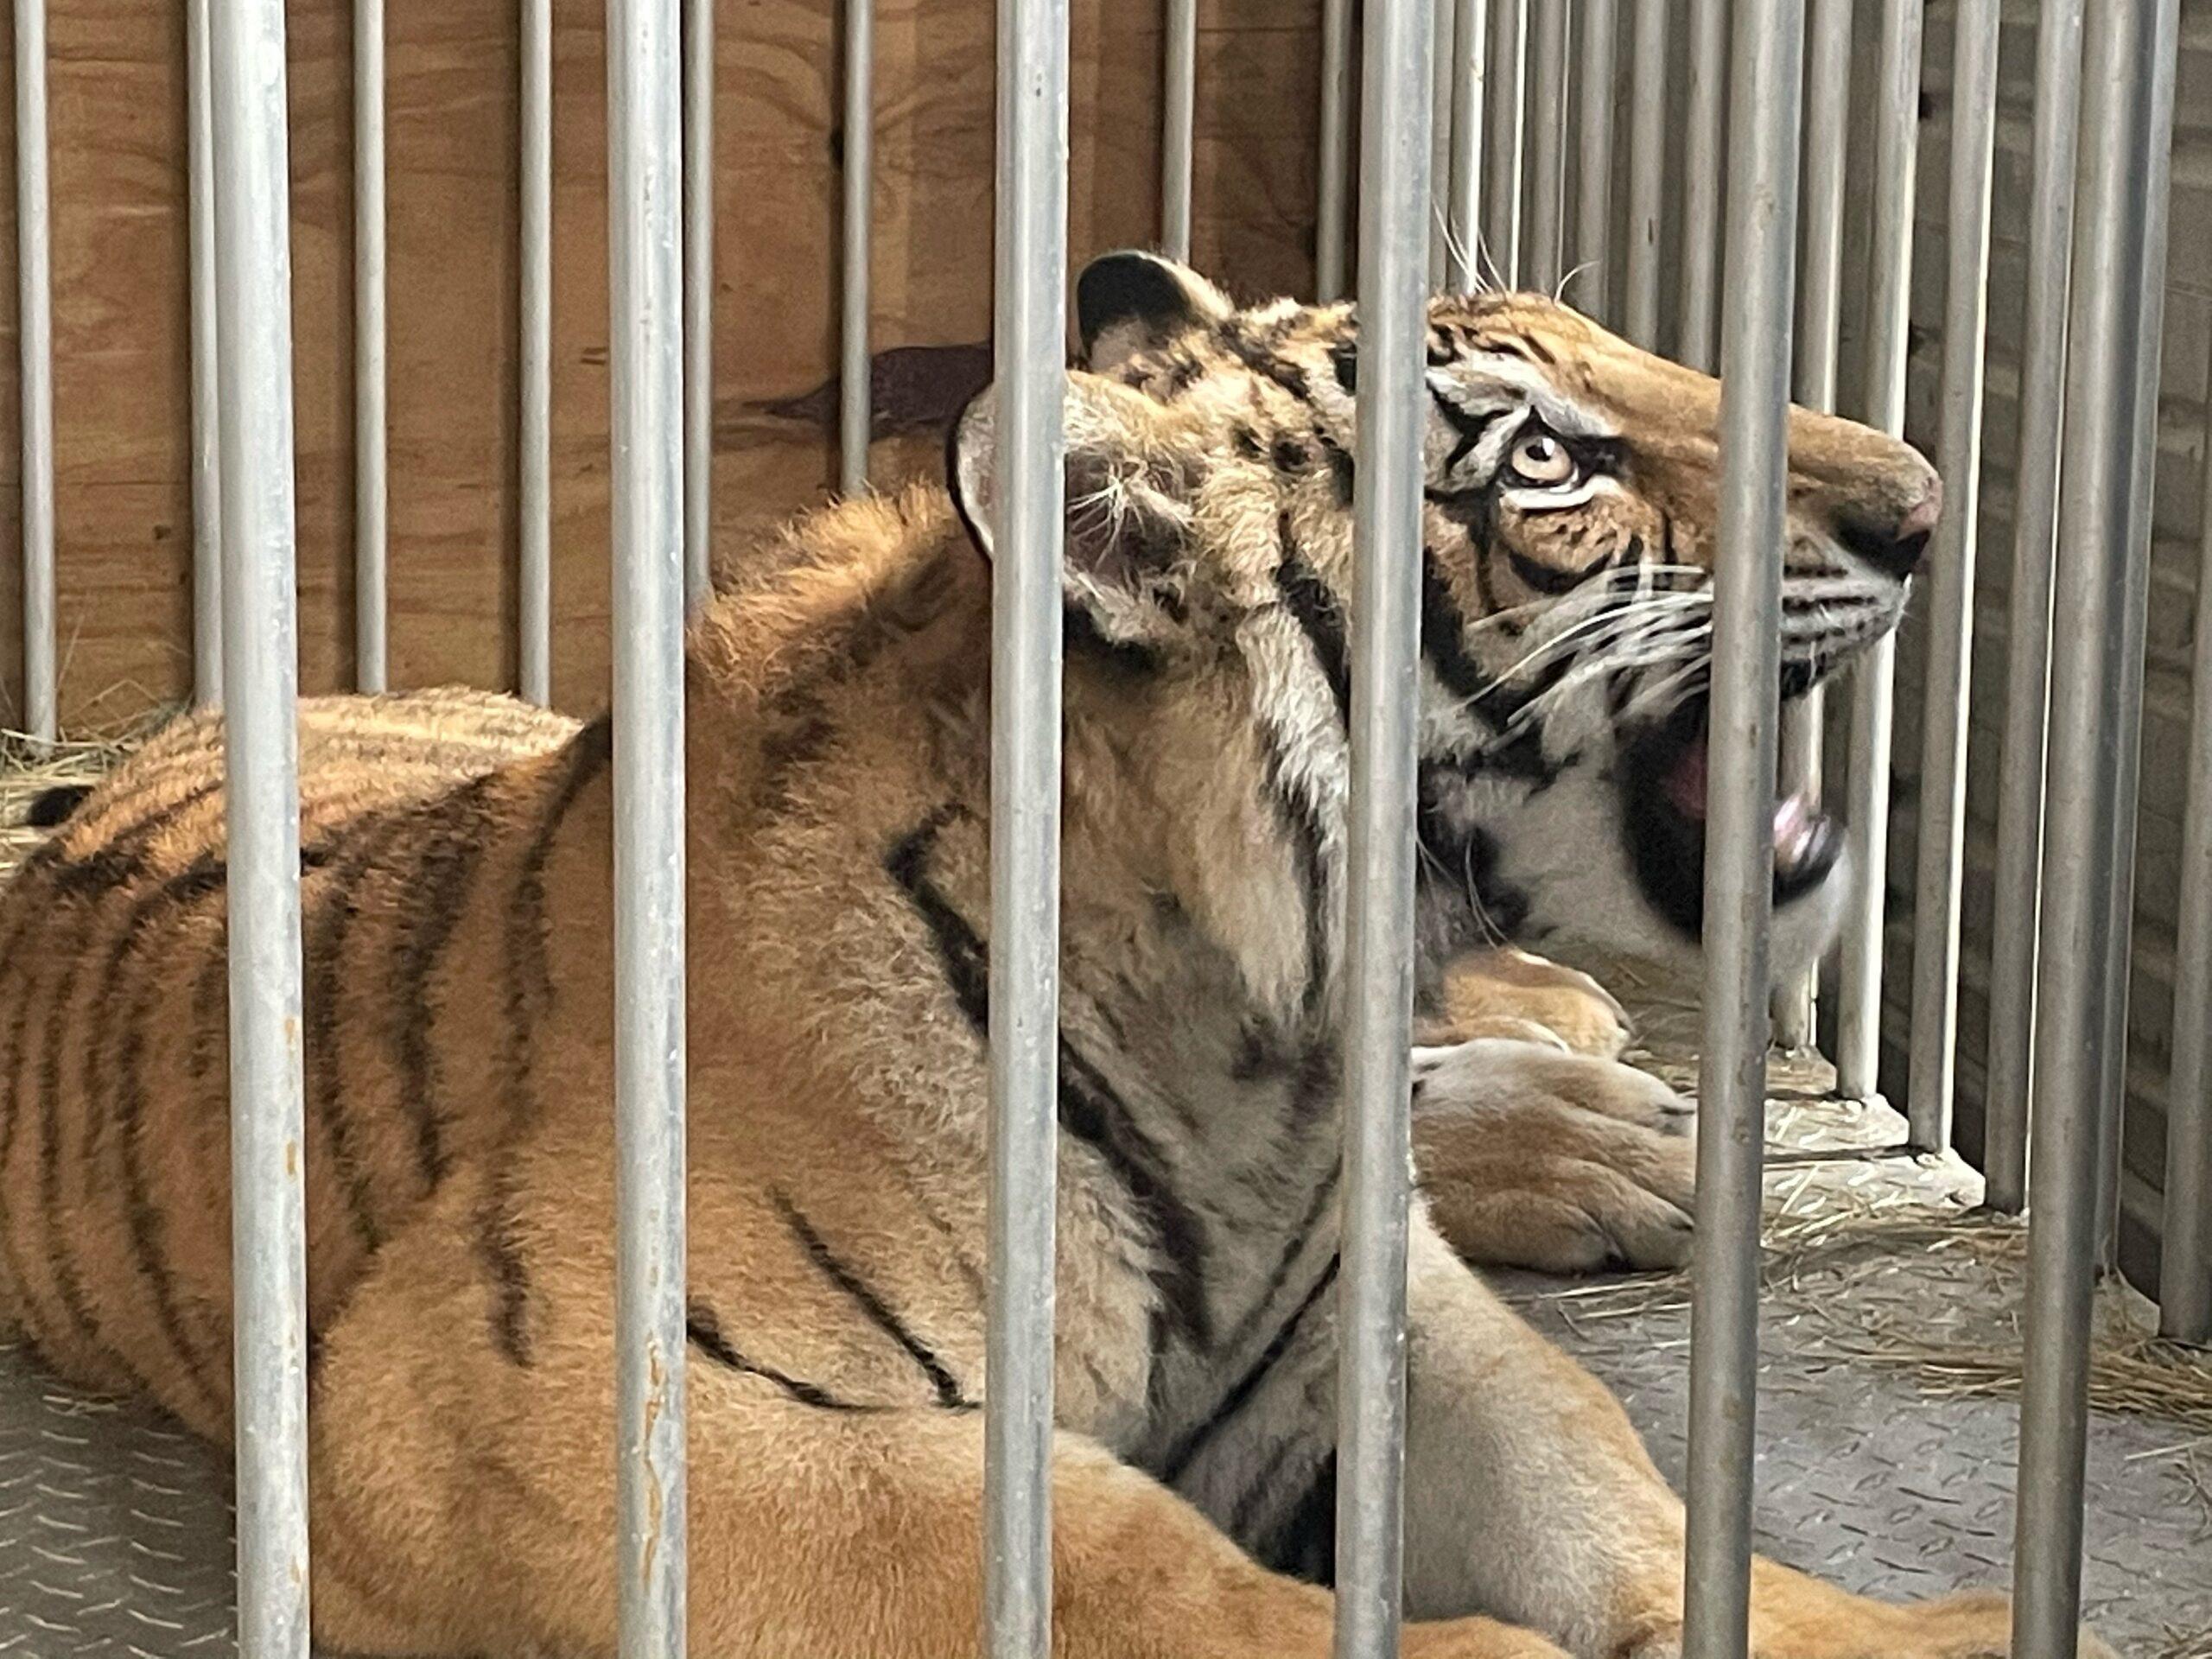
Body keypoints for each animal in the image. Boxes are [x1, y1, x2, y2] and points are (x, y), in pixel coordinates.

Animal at [0, 250, 2106, 1659]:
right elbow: (1143, 1573)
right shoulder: (521, 1410)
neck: (1246, 1052)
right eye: (1538, 465)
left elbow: (1607, 1489)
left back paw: (1597, 1103)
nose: (1925, 500)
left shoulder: (1385, 1313)